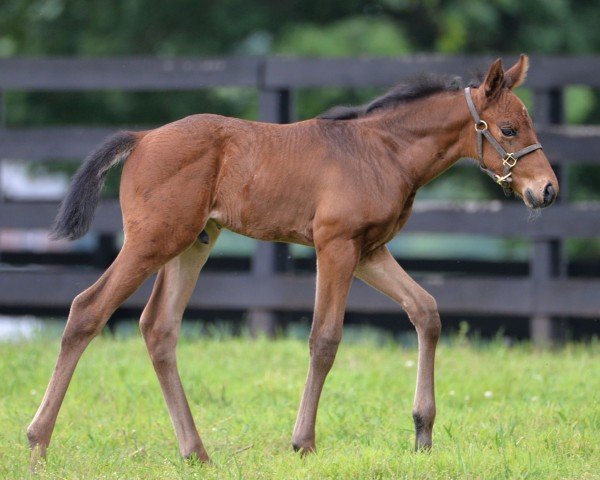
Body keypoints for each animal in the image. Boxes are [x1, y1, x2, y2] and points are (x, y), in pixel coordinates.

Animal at [29, 55, 556, 462]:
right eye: (509, 128)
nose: (547, 190)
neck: (383, 151)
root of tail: (141, 137)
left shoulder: (370, 251)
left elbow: (425, 310)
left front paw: (422, 432)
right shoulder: (335, 245)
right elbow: (324, 339)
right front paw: (303, 442)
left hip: (194, 242)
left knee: (158, 328)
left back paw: (196, 452)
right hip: (153, 240)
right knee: (88, 309)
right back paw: (38, 442)